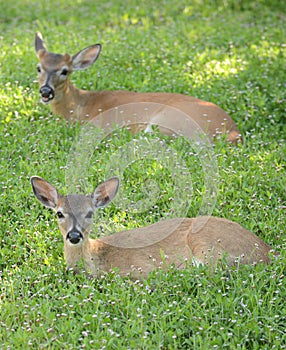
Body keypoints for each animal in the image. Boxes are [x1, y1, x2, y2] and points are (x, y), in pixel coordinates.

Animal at [30, 176, 274, 280]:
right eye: (59, 213)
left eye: (90, 213)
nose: (74, 235)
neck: (98, 259)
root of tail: (268, 252)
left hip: (207, 245)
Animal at [35, 31, 241, 144]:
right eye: (38, 68)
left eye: (64, 71)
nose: (46, 91)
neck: (80, 106)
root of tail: (233, 133)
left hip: (168, 122)